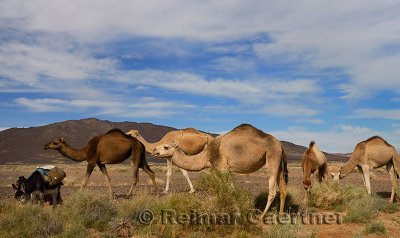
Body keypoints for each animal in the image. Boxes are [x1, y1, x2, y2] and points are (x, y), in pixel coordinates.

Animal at [151, 123, 288, 218]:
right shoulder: (220, 170)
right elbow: (224, 190)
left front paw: (237, 213)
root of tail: (280, 144)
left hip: (272, 157)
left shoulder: (223, 168)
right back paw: (280, 216)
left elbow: (231, 191)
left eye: (166, 147)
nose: (154, 150)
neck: (207, 155)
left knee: (272, 191)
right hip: (279, 163)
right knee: (283, 189)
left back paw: (261, 218)